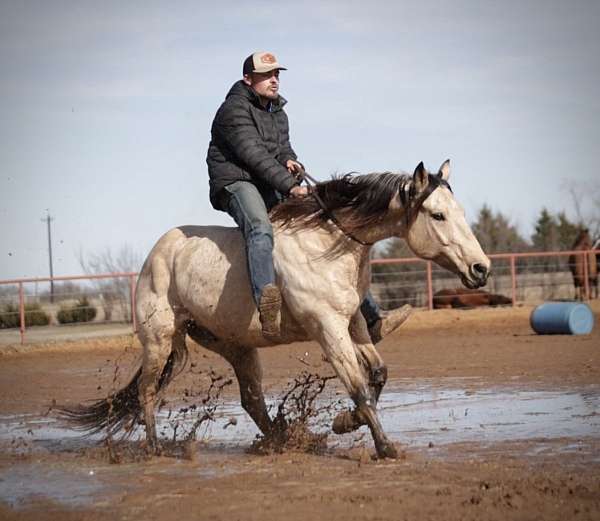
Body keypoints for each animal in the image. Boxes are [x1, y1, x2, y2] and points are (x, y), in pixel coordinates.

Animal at [63, 160, 490, 458]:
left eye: (459, 212)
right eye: (437, 214)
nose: (480, 268)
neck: (326, 244)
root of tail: (158, 252)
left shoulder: (351, 322)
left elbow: (378, 375)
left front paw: (343, 424)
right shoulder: (327, 329)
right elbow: (359, 388)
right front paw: (384, 447)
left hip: (234, 345)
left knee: (251, 399)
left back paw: (283, 440)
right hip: (159, 340)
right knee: (149, 391)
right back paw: (154, 448)